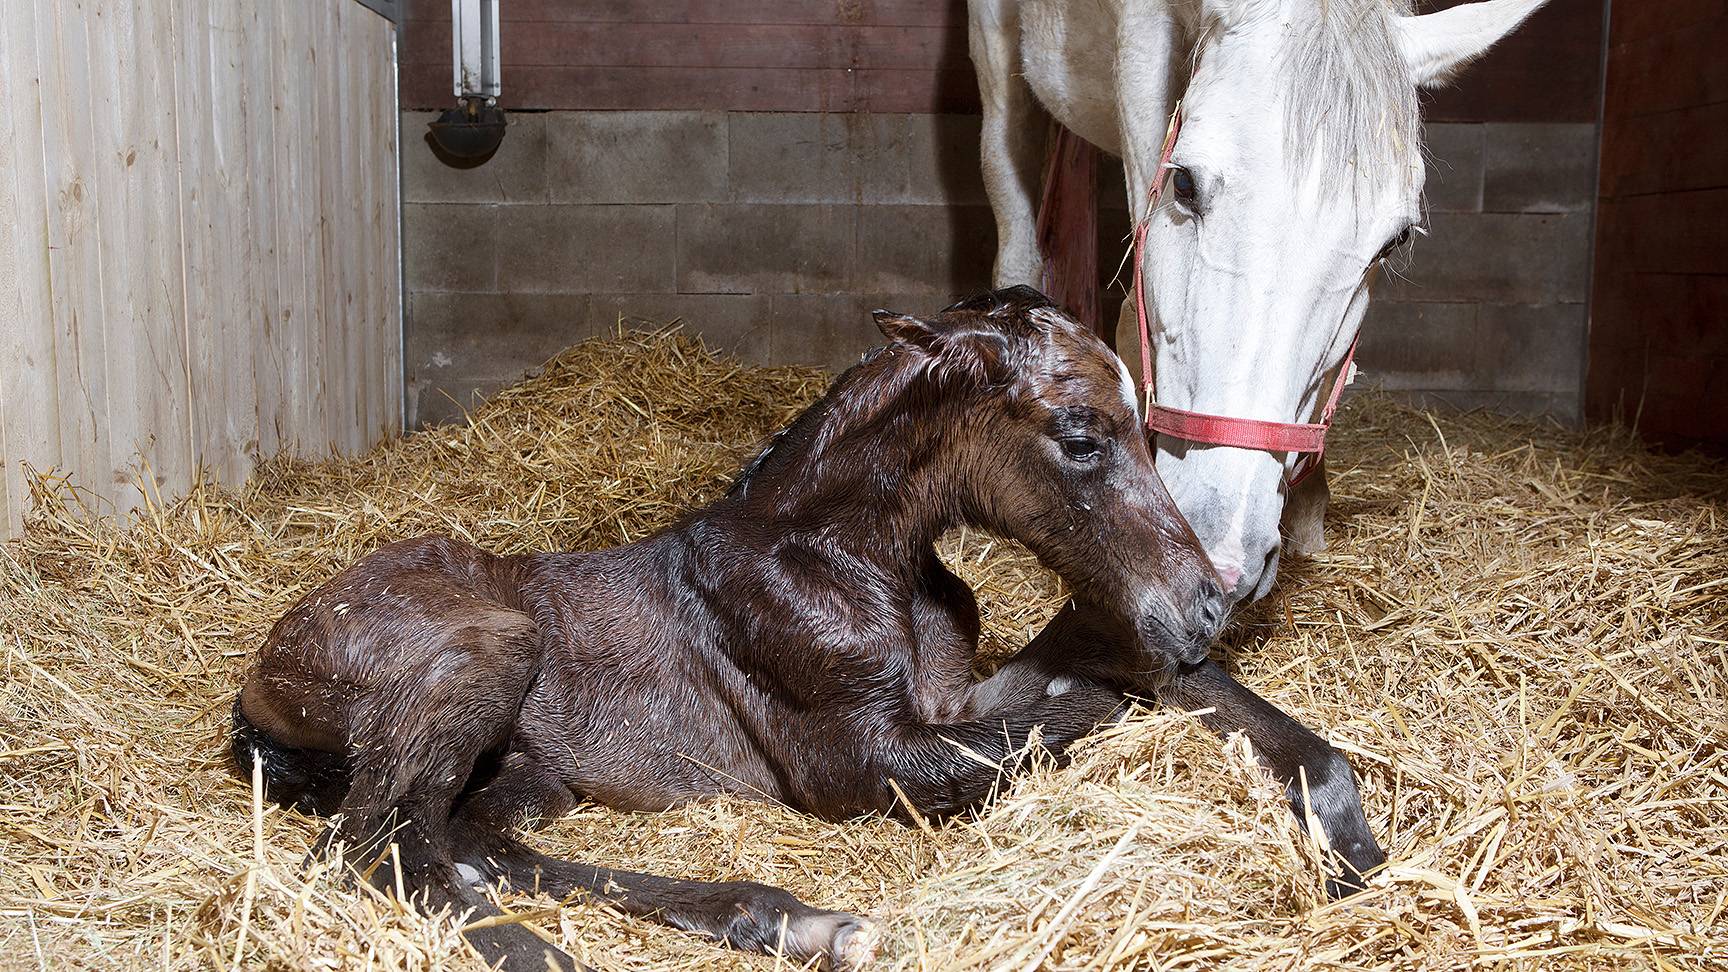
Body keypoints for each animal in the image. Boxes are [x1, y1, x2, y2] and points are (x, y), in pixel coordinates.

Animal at [230, 287, 1382, 972]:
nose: (1205, 605)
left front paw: (1349, 843)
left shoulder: (948, 698)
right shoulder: (857, 760)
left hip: (529, 773)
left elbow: (1085, 686)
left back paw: (793, 920)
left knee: (468, 840)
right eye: (1080, 434)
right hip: (486, 651)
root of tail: (257, 683)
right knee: (371, 846)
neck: (844, 558)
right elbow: (1070, 715)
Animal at [969, 0, 1551, 600]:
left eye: (1395, 241)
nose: (1223, 560)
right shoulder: (1142, 52)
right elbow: (1134, 318)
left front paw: (1308, 513)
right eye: (1183, 184)